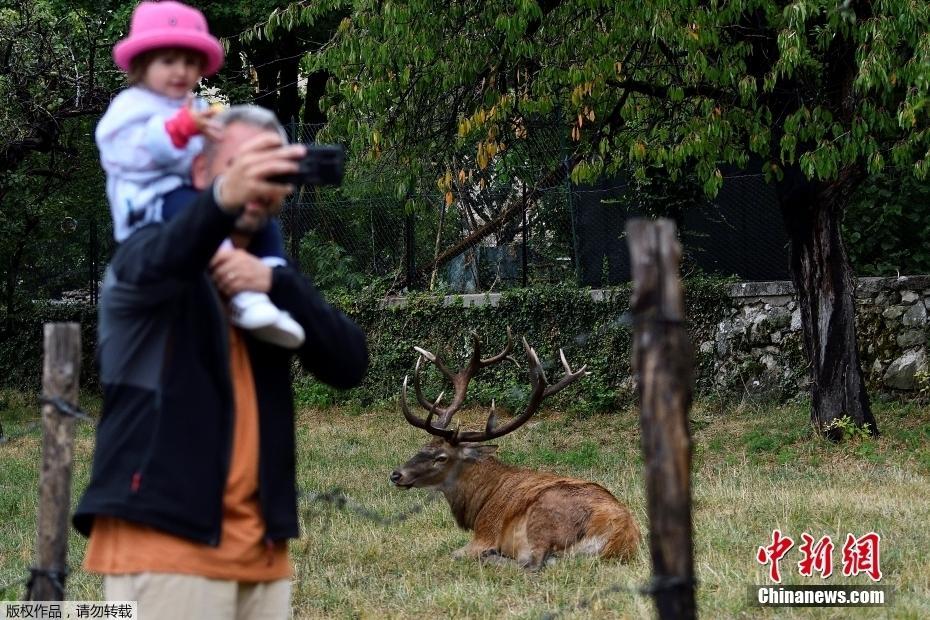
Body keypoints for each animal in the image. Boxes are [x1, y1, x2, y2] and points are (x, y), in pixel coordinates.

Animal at [386, 332, 640, 568]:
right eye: (422, 447)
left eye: (441, 458)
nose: (396, 474)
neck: (478, 505)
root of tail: (620, 538)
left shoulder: (485, 532)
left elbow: (455, 553)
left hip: (545, 517)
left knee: (532, 564)